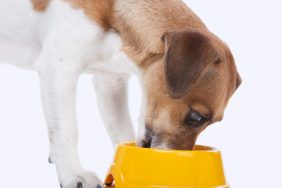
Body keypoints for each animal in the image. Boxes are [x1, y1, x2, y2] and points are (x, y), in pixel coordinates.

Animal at [0, 0, 240, 188]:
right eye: (197, 117)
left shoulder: (111, 84)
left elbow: (121, 130)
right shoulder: (59, 70)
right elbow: (67, 130)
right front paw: (73, 174)